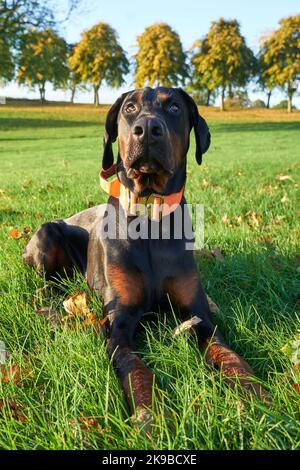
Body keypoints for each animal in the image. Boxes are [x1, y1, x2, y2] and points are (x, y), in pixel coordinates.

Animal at [22, 86, 268, 428]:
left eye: (175, 107)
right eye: (129, 108)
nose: (148, 128)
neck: (150, 217)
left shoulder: (199, 316)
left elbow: (229, 354)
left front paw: (257, 393)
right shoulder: (119, 323)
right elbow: (136, 370)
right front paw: (150, 416)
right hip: (47, 235)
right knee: (46, 283)